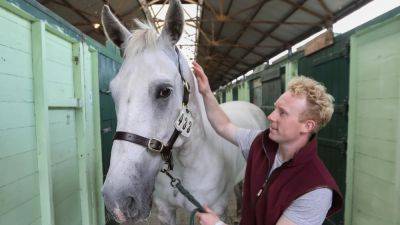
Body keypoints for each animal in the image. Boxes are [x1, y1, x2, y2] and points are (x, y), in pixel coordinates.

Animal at [101, 0, 268, 224]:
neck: (186, 166)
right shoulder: (165, 211)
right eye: (113, 92)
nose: (117, 201)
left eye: (164, 91)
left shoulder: (213, 210)